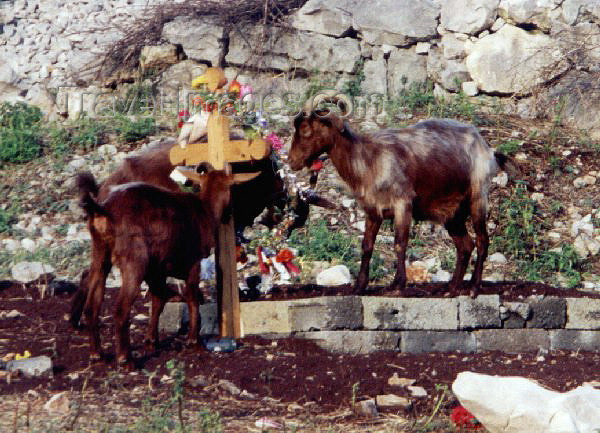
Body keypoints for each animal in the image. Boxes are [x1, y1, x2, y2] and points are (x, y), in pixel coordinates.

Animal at [75, 167, 253, 366]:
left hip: (100, 254)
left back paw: (96, 354)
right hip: (134, 261)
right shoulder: (193, 262)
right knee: (121, 309)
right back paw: (125, 359)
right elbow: (192, 298)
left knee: (92, 304)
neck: (204, 210)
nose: (230, 214)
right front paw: (193, 341)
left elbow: (158, 300)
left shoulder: (157, 268)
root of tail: (104, 210)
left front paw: (151, 341)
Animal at [288, 96, 508, 296]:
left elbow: (399, 244)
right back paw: (452, 289)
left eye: (306, 129)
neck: (369, 160)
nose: (292, 161)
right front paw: (359, 286)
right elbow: (367, 246)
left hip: (478, 197)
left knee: (482, 241)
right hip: (453, 214)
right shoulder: (372, 211)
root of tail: (487, 148)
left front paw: (397, 285)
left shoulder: (403, 204)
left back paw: (474, 288)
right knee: (465, 246)